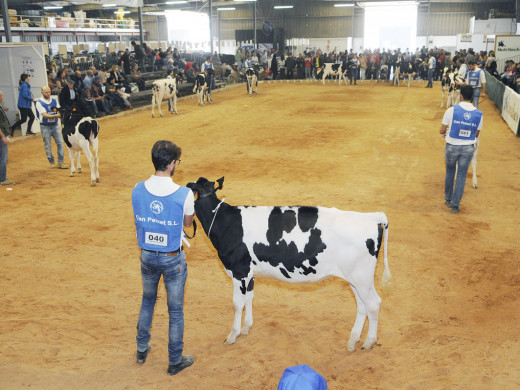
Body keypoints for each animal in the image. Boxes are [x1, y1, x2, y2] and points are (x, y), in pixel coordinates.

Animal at [187, 178, 390, 352]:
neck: (227, 223)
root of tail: (371, 217)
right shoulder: (250, 274)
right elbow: (249, 298)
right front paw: (246, 328)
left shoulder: (240, 271)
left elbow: (237, 303)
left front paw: (232, 335)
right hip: (355, 278)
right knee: (362, 306)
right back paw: (353, 341)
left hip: (362, 277)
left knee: (373, 304)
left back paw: (369, 342)